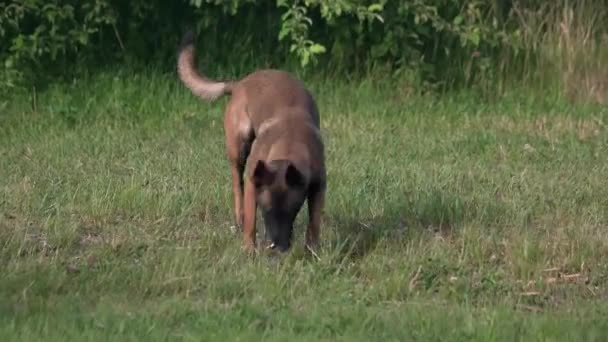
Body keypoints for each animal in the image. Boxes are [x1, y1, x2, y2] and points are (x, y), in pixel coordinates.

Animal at [177, 30, 328, 252]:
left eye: (292, 210)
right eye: (265, 209)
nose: (277, 247)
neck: (289, 142)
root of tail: (240, 83)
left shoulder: (318, 186)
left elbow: (314, 222)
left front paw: (312, 250)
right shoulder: (253, 183)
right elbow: (251, 220)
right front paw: (249, 248)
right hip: (239, 147)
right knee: (236, 184)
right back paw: (239, 218)